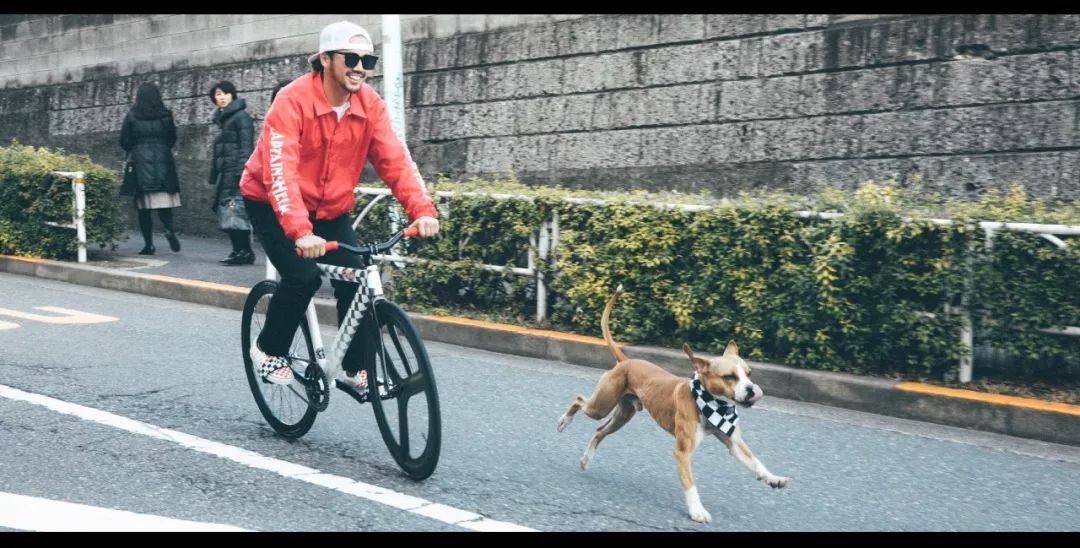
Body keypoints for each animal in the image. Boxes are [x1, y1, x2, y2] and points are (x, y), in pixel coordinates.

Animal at [561, 287, 790, 523]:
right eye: (729, 377)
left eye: (748, 374)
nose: (752, 390)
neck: (709, 403)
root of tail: (625, 361)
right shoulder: (682, 452)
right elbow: (690, 484)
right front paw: (697, 511)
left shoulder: (734, 443)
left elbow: (755, 462)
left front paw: (773, 478)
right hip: (600, 406)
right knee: (579, 401)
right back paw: (564, 421)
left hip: (622, 415)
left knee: (599, 431)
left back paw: (586, 460)